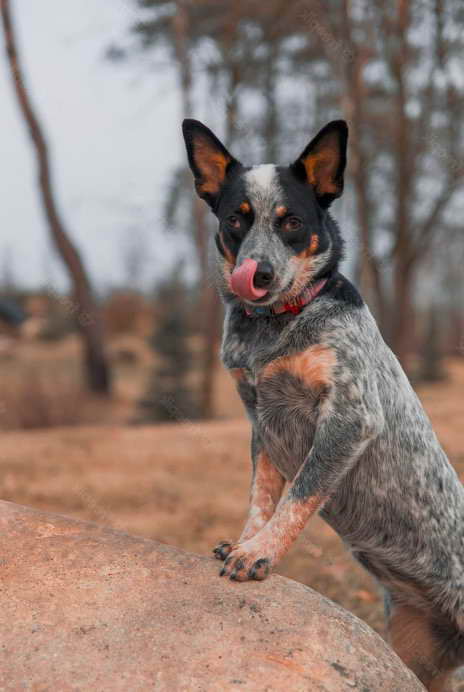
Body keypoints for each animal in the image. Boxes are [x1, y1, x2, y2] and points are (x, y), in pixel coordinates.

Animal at [181, 119, 464, 692]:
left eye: (291, 221)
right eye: (235, 220)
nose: (258, 274)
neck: (276, 328)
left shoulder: (349, 419)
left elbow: (299, 495)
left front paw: (259, 552)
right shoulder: (260, 421)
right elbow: (262, 496)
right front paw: (246, 541)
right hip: (414, 651)